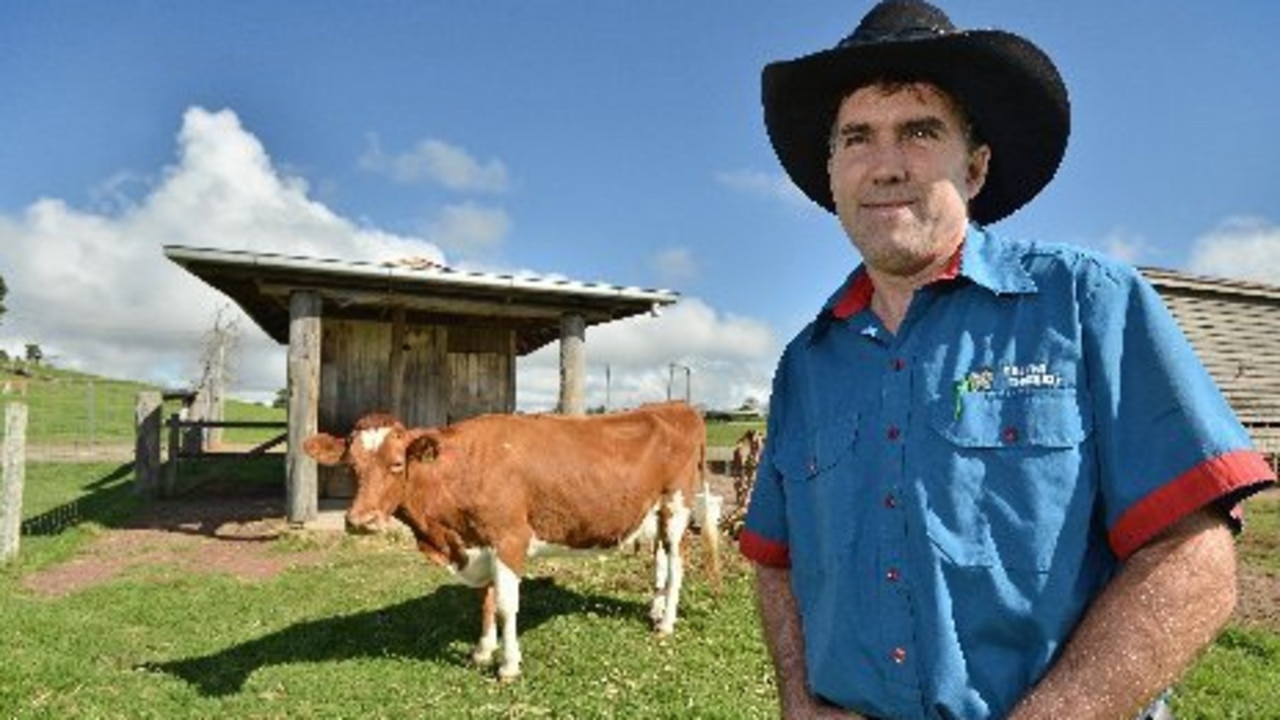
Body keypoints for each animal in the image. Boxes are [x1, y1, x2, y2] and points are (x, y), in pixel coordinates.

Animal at [300, 399, 721, 681]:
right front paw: (482, 651)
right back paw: (655, 610)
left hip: (677, 504)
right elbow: (484, 601)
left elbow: (505, 606)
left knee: (677, 564)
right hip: (655, 512)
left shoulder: (509, 539)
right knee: (660, 560)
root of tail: (678, 405)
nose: (360, 521)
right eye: (351, 467)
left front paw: (508, 664)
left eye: (397, 463)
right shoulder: (480, 543)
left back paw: (666, 622)